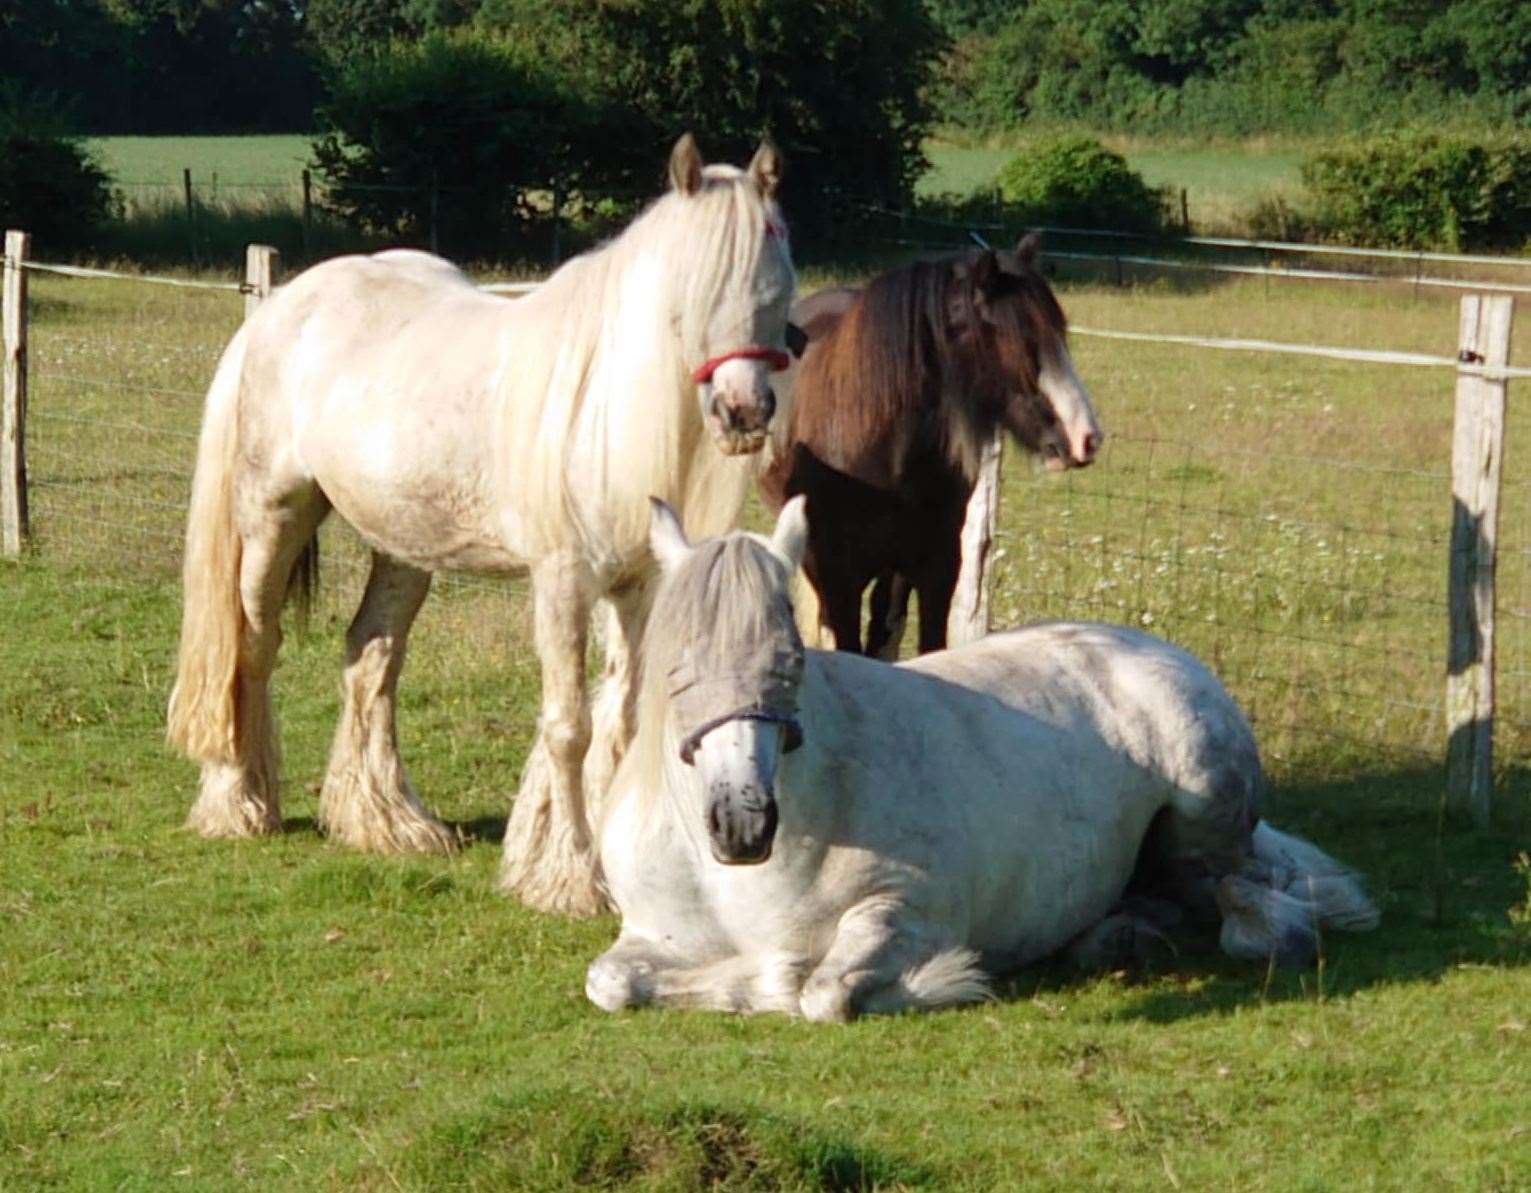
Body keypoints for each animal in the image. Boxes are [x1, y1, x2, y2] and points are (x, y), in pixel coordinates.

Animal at [164, 135, 802, 912]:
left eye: (778, 284)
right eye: (692, 288)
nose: (744, 412)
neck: (603, 408)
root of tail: (281, 308)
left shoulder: (637, 588)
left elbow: (621, 720)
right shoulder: (563, 583)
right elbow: (569, 727)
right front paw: (572, 876)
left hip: (402, 548)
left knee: (370, 656)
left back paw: (386, 822)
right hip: (271, 518)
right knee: (253, 648)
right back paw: (240, 803)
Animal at [584, 499, 1377, 1023]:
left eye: (792, 658)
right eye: (678, 667)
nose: (742, 822)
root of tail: (1152, 646)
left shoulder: (902, 911)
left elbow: (819, 992)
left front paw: (941, 977)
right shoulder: (646, 938)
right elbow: (610, 983)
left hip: (1206, 821)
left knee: (1245, 896)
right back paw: (1117, 935)